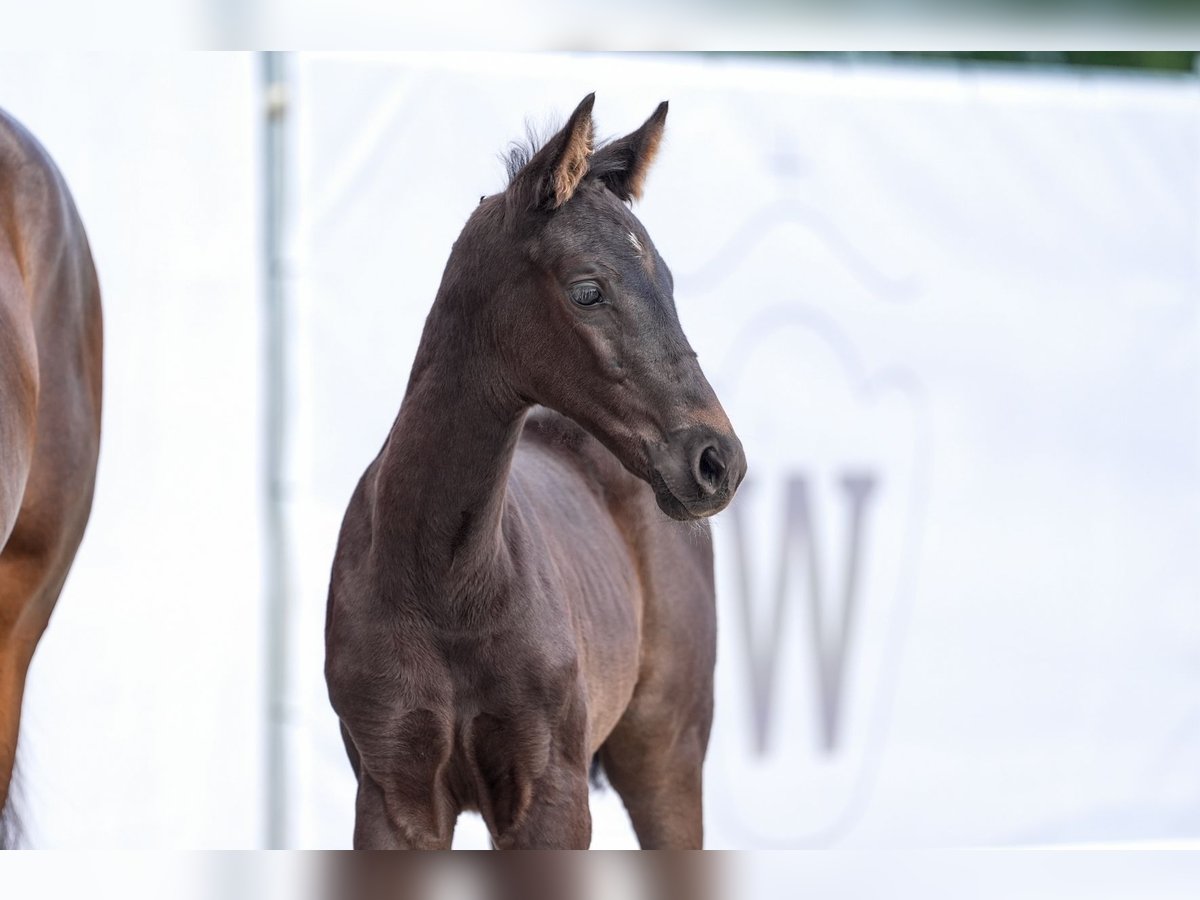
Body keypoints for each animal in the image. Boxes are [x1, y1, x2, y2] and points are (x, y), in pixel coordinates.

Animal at [324, 95, 744, 849]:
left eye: (667, 281)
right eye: (588, 291)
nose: (716, 461)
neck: (445, 580)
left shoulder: (550, 796)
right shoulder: (392, 797)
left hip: (666, 754)